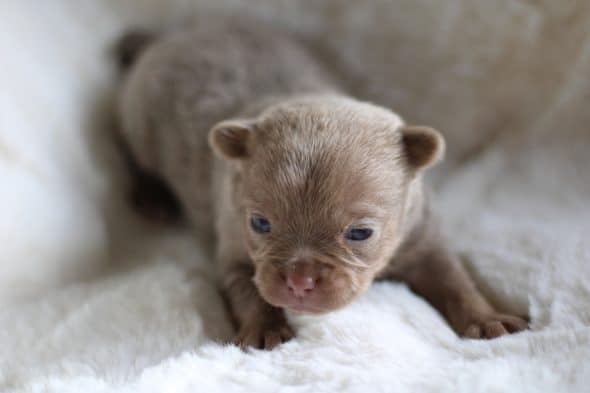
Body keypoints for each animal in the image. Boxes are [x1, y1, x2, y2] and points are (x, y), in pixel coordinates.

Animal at [117, 23, 532, 348]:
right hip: (140, 118)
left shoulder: (423, 237)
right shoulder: (234, 245)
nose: (300, 282)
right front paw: (264, 328)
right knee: (131, 148)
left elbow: (454, 280)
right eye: (260, 224)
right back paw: (150, 196)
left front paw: (487, 318)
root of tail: (172, 36)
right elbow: (248, 289)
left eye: (361, 233)